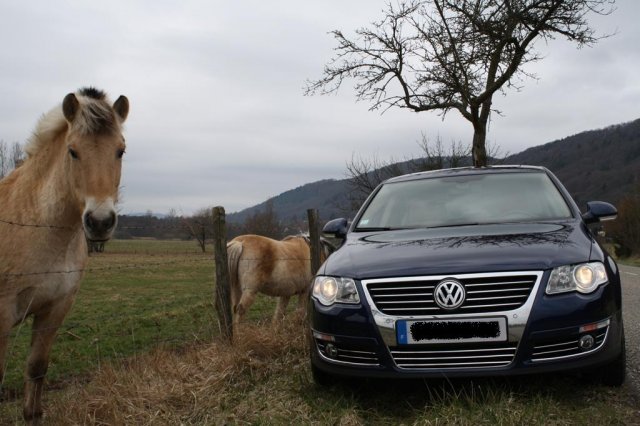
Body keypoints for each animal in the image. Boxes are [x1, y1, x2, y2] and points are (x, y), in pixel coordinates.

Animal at [0, 88, 129, 424]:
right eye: (73, 151)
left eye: (120, 151)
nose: (100, 222)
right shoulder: (2, 314)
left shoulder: (55, 308)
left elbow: (36, 369)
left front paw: (32, 415)